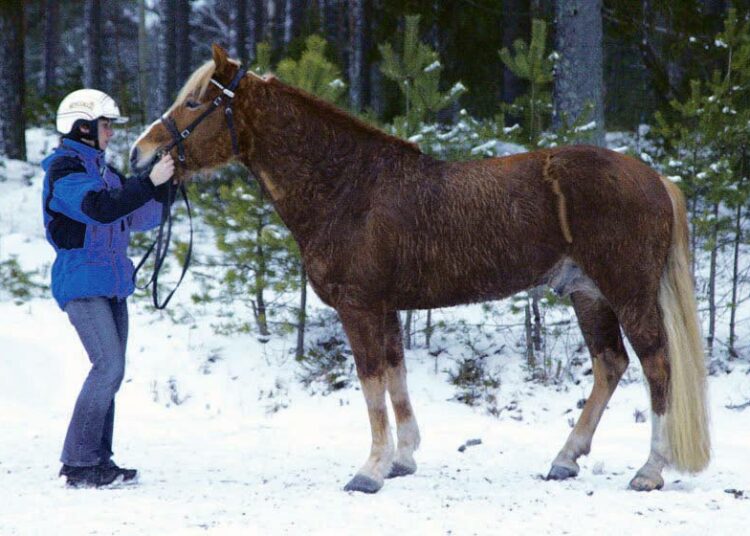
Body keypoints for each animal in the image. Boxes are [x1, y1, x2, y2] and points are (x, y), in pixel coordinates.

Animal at [129, 46, 712, 494]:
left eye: (195, 102)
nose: (141, 154)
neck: (350, 187)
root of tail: (655, 178)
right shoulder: (386, 307)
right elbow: (396, 376)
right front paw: (402, 459)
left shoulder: (359, 307)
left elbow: (371, 384)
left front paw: (369, 470)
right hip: (588, 294)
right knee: (610, 364)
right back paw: (565, 458)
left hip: (627, 292)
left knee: (657, 366)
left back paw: (650, 470)